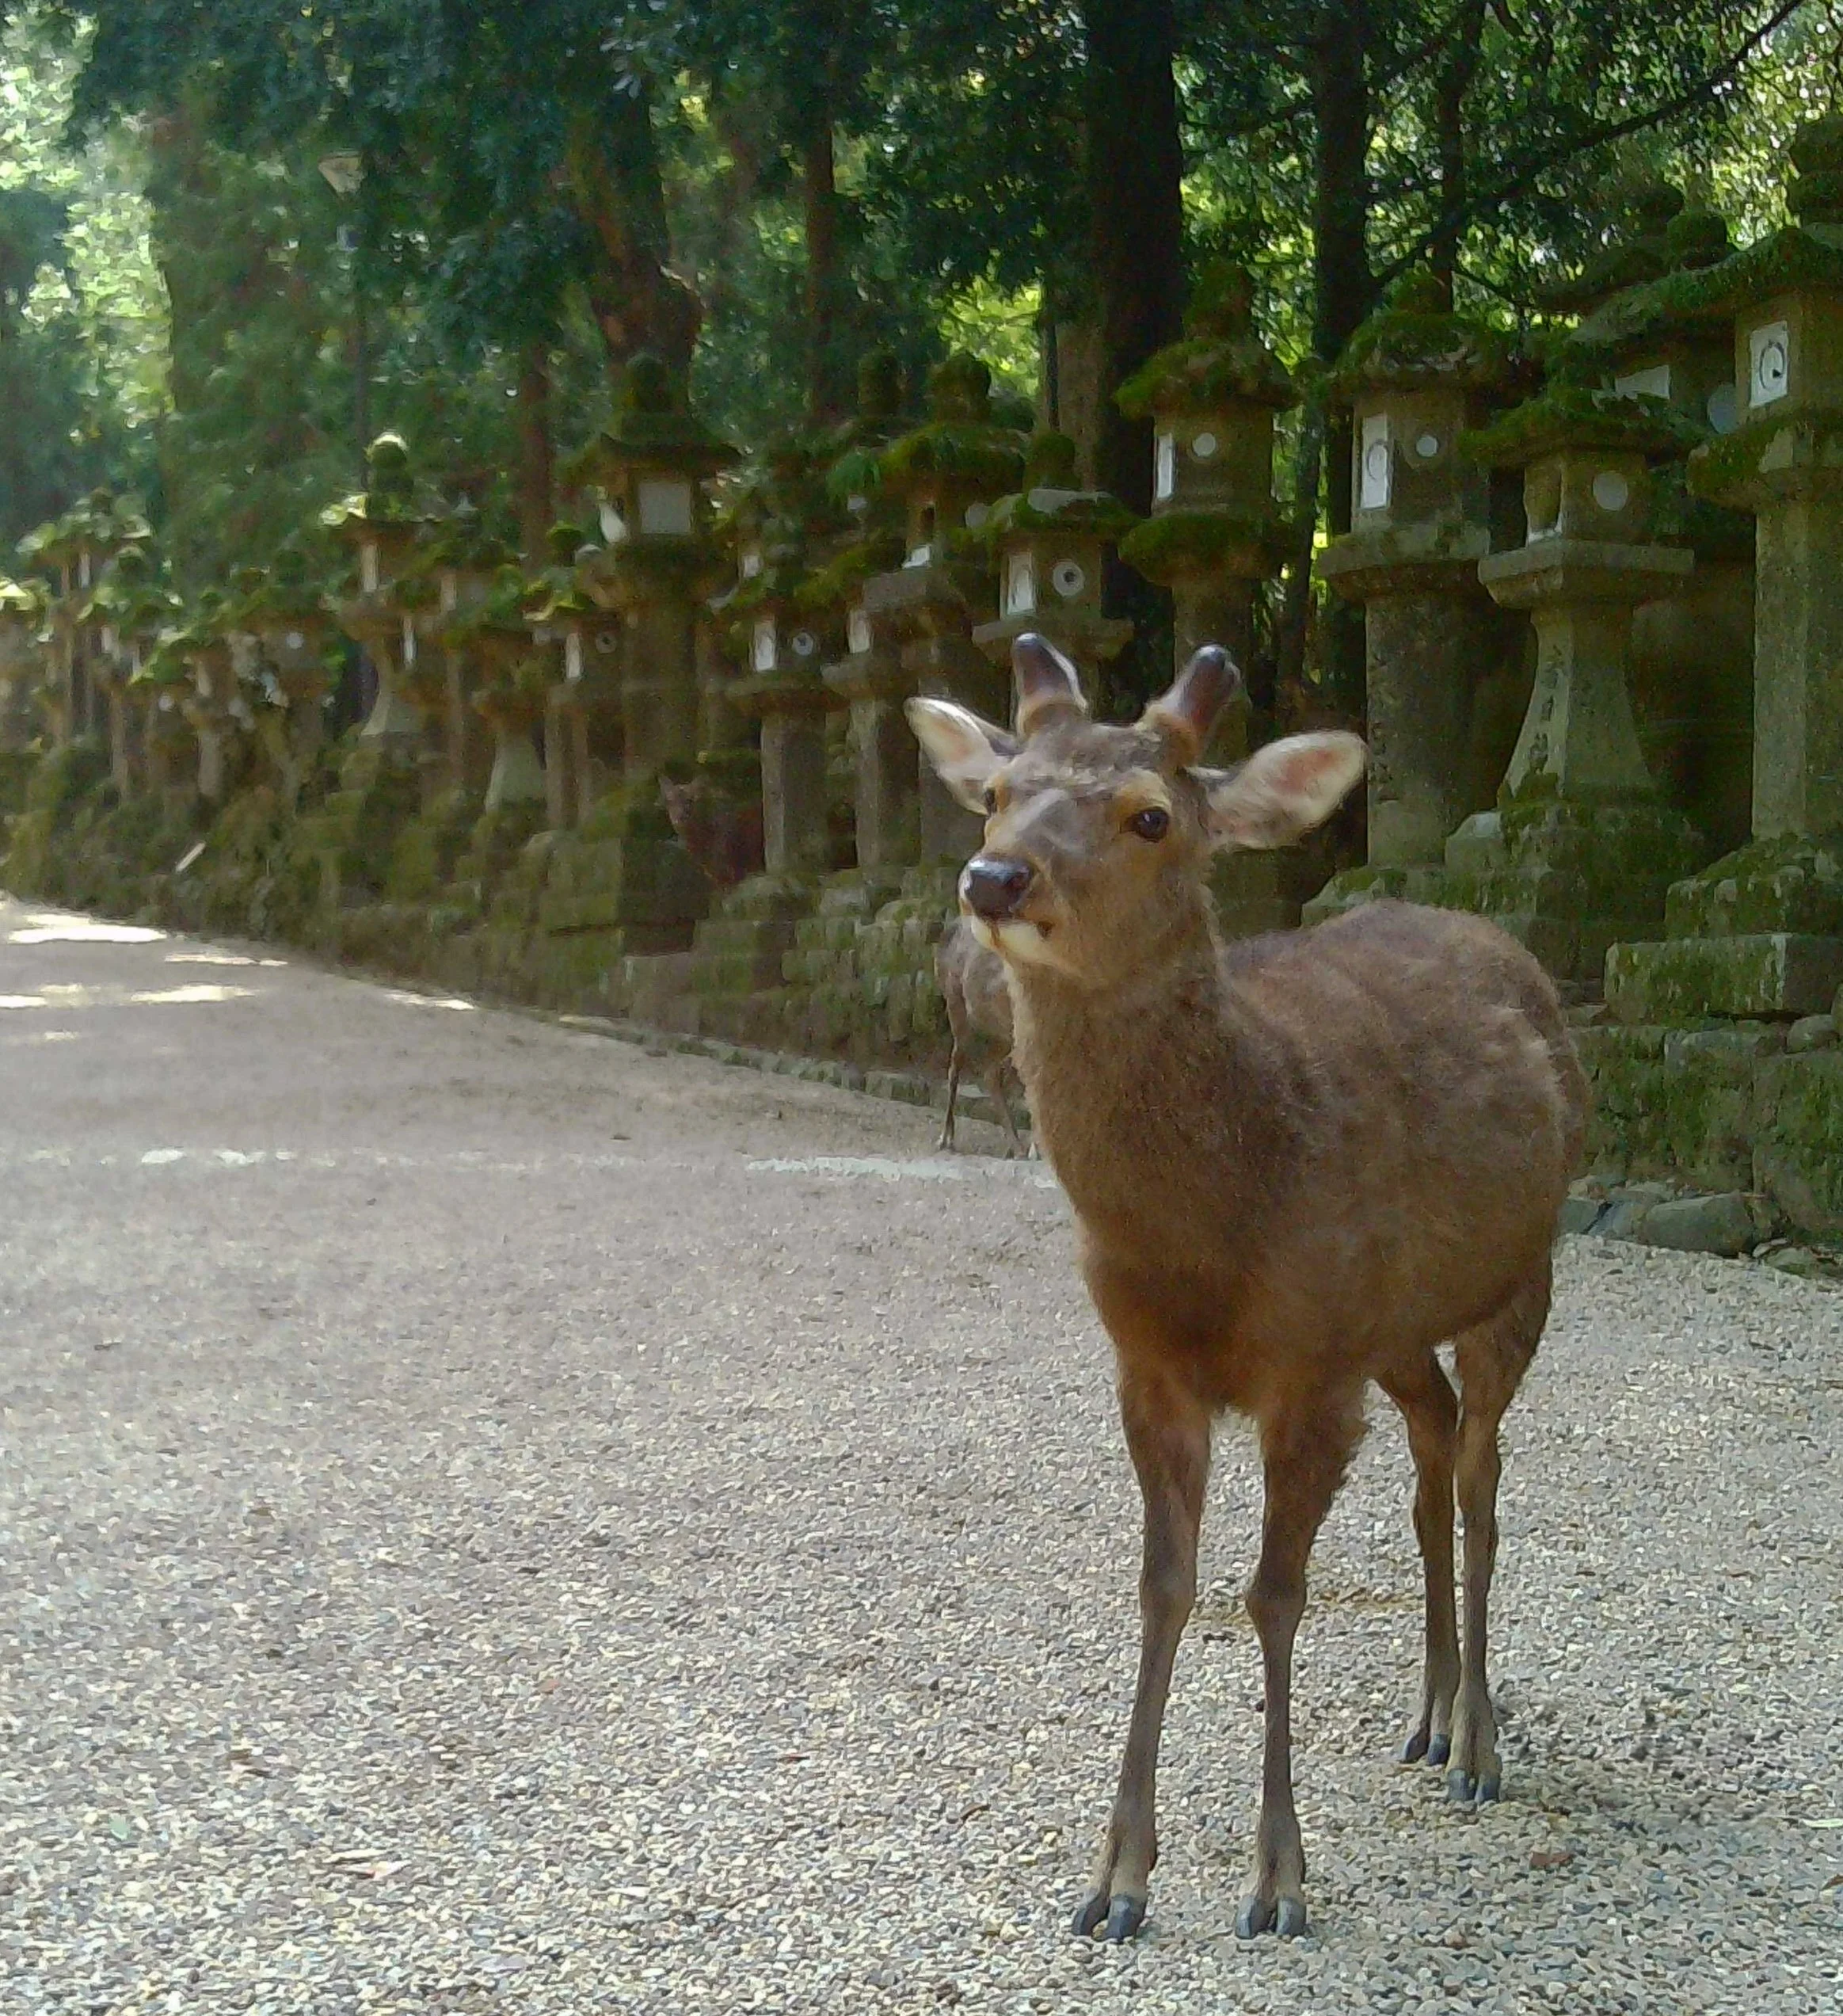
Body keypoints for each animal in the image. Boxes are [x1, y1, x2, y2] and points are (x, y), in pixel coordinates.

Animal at [935, 914, 1032, 1158]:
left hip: (1002, 1035)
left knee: (990, 1072)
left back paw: (1015, 1147)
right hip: (955, 1006)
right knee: (956, 1065)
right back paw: (946, 1139)